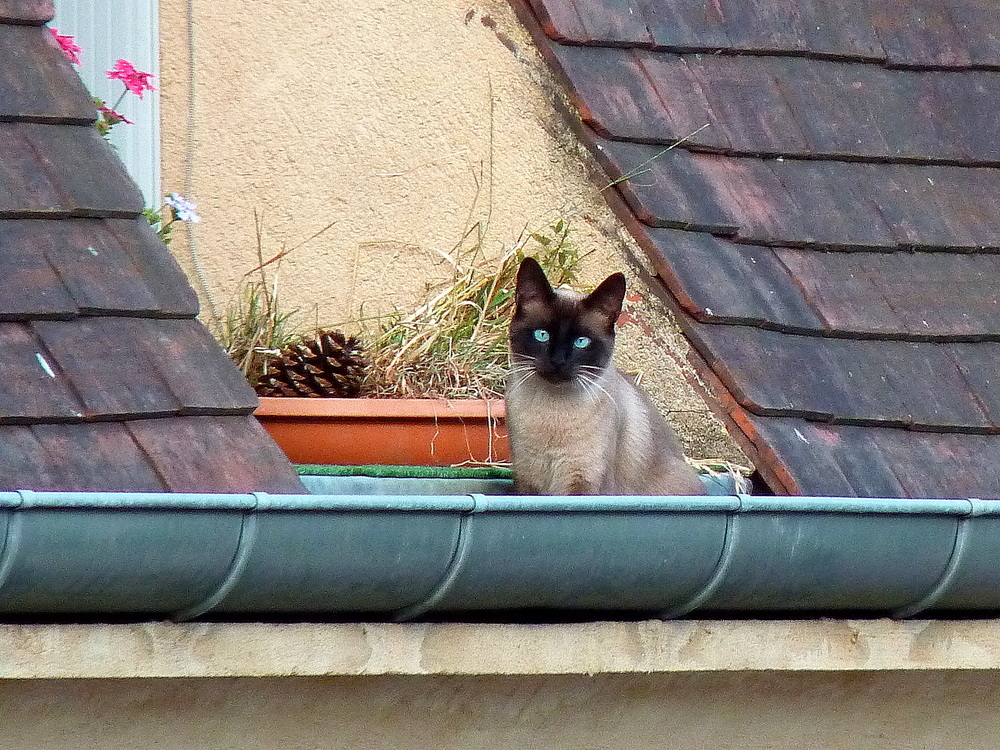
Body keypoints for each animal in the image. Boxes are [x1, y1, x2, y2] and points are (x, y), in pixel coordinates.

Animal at [508, 258, 704, 500]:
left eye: (581, 342)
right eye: (542, 335)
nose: (558, 361)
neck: (552, 414)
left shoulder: (582, 481)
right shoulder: (528, 479)